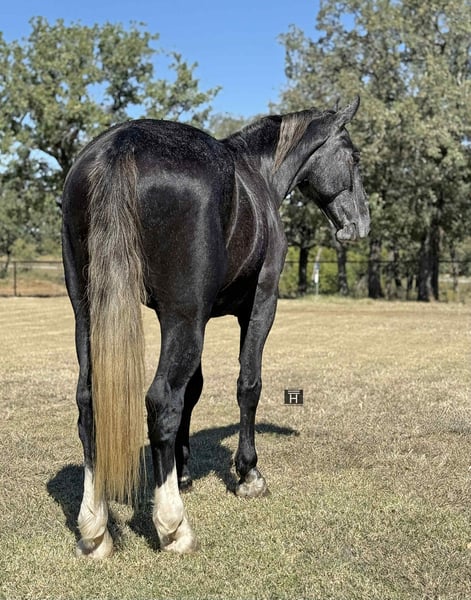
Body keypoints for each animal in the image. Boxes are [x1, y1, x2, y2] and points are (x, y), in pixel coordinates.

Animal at [61, 97, 370, 558]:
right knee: (161, 400)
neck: (257, 174)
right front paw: (248, 474)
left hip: (88, 312)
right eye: (354, 157)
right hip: (183, 316)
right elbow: (247, 385)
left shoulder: (193, 316)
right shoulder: (259, 305)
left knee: (89, 403)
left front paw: (183, 469)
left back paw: (95, 528)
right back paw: (173, 525)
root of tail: (122, 144)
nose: (361, 223)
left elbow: (194, 390)